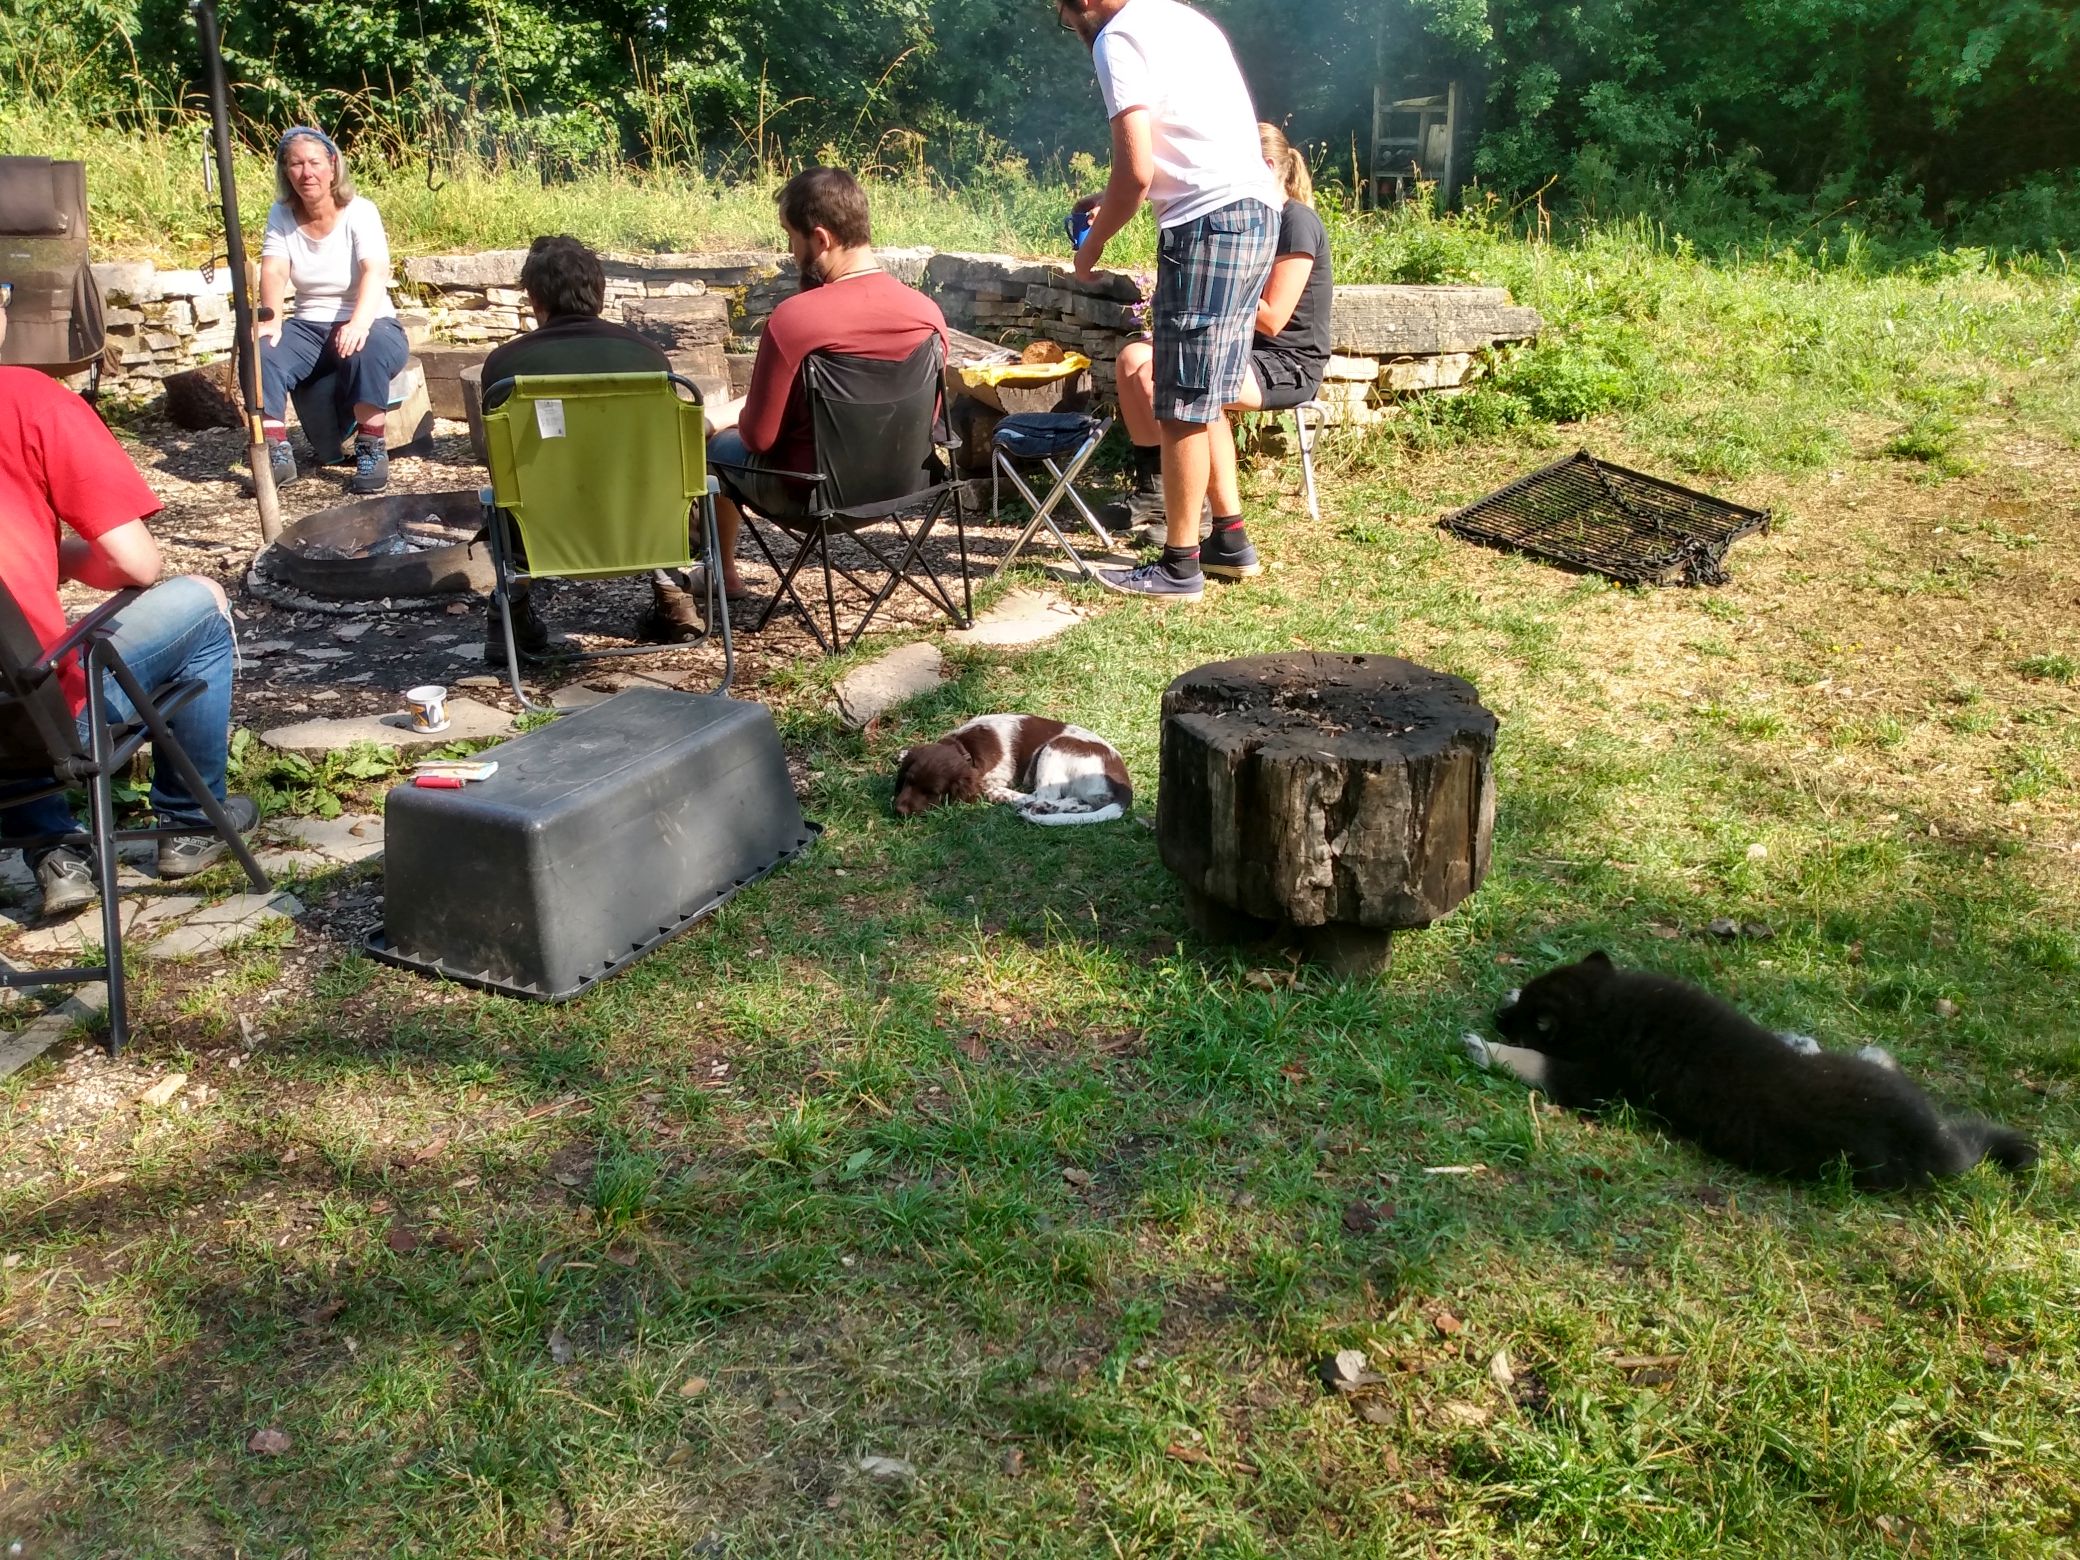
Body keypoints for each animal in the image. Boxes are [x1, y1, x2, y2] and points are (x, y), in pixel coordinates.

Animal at [893, 714, 1132, 826]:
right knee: (1081, 804)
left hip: (1056, 748)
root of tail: (1125, 786)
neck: (963, 745)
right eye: (907, 781)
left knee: (1046, 796)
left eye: (933, 792)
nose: (899, 810)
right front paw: (903, 753)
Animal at [1463, 951, 2038, 1191]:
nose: (1497, 1015)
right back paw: (1807, 1043)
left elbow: (1540, 1063)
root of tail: (1938, 1148)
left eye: (1526, 1023)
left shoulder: (1599, 1083)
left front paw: (1488, 1048)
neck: (1613, 1005)